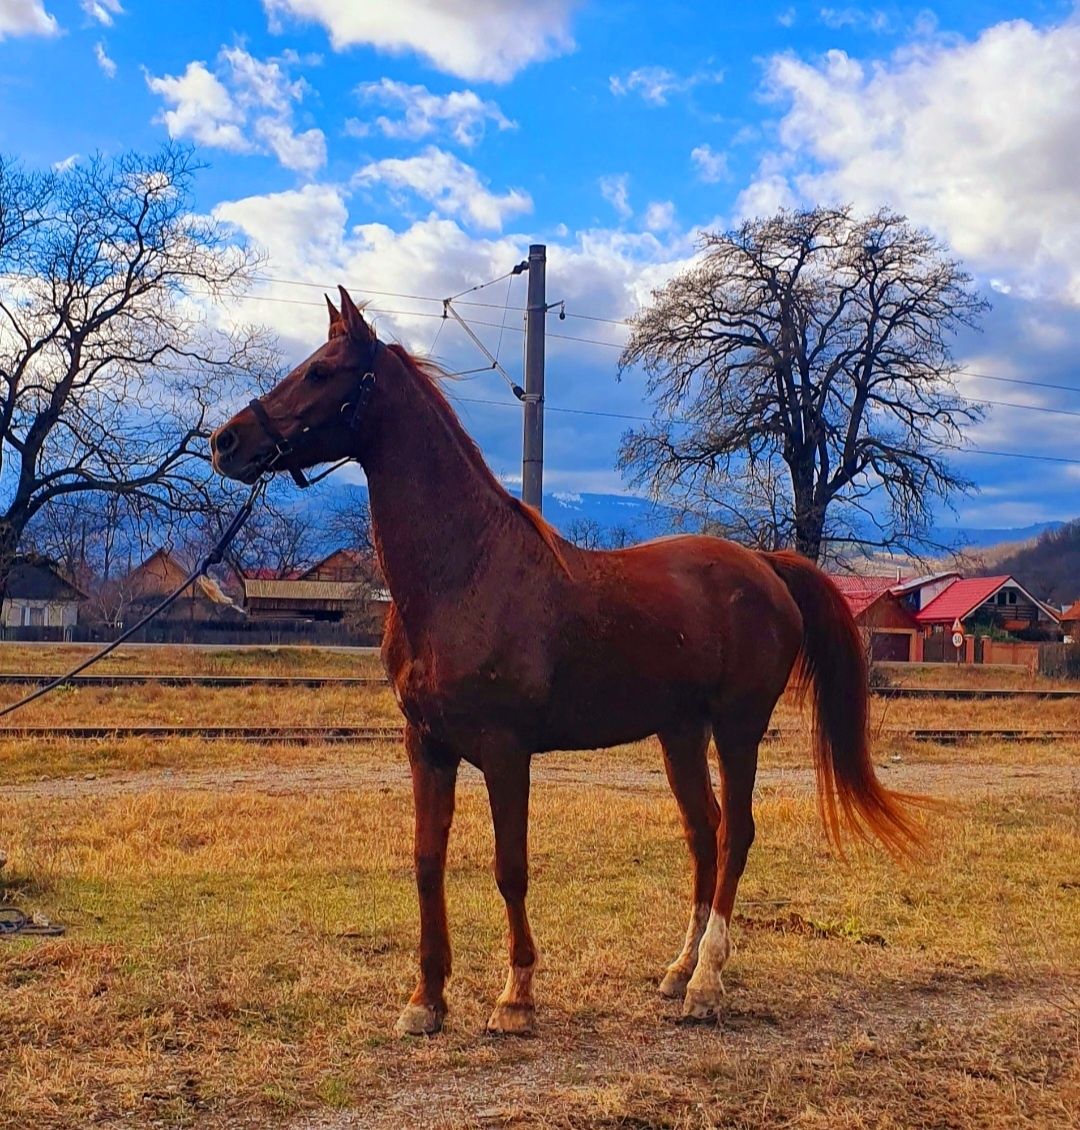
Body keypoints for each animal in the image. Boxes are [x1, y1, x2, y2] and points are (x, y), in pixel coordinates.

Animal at [208, 287, 921, 1035]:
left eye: (321, 371)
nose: (225, 442)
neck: (465, 571)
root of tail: (765, 565)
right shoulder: (426, 746)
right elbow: (427, 863)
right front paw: (425, 1000)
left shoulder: (504, 751)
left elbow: (509, 867)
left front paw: (516, 996)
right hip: (680, 732)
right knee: (705, 832)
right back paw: (677, 971)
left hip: (737, 728)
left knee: (737, 836)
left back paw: (706, 982)